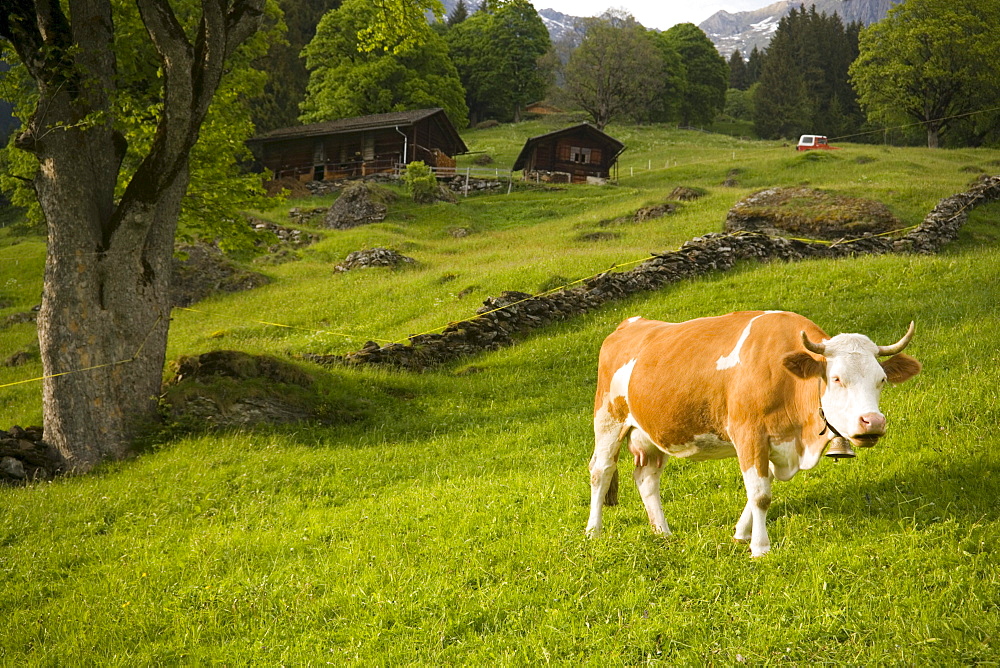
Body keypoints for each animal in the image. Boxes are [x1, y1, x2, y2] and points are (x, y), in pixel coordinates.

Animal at [584, 310, 920, 556]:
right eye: (837, 378)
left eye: (881, 379)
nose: (873, 422)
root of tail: (631, 323)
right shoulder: (748, 433)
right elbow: (760, 494)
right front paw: (760, 548)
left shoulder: (775, 441)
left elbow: (761, 485)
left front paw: (740, 534)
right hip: (608, 419)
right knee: (601, 471)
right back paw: (593, 531)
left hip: (652, 432)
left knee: (647, 479)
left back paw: (662, 531)